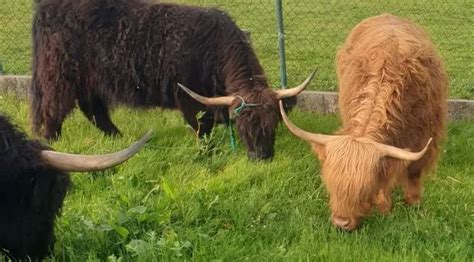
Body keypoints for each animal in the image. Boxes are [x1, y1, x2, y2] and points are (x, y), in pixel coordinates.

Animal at [29, 0, 312, 160]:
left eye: (273, 123)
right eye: (243, 125)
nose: (262, 157)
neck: (213, 46)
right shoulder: (187, 96)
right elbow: (201, 126)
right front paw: (206, 152)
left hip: (91, 79)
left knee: (93, 108)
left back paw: (117, 137)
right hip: (60, 73)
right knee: (53, 108)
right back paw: (52, 142)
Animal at [280, 14, 450, 230]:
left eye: (362, 189)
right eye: (331, 185)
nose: (341, 222)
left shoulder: (426, 136)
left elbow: (413, 172)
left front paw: (413, 203)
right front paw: (384, 205)